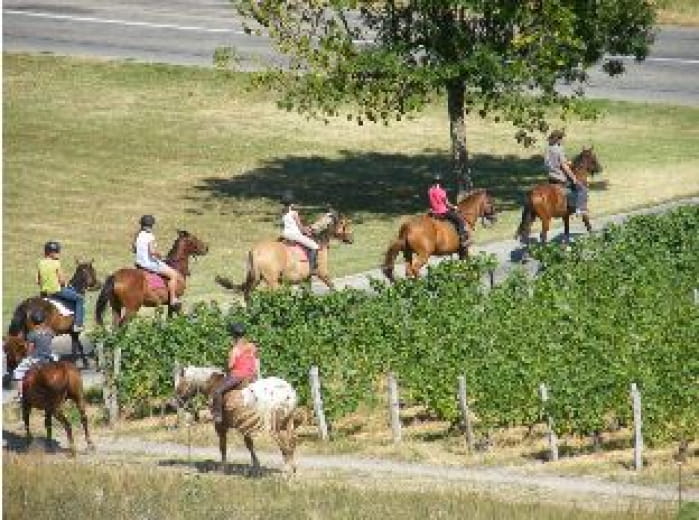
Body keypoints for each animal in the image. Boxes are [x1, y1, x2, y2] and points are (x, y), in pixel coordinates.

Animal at [215, 210, 356, 300]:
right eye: (345, 224)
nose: (352, 239)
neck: (318, 240)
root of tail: (256, 251)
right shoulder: (322, 272)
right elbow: (332, 286)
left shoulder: (306, 278)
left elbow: (308, 292)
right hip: (272, 282)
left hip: (256, 279)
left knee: (248, 294)